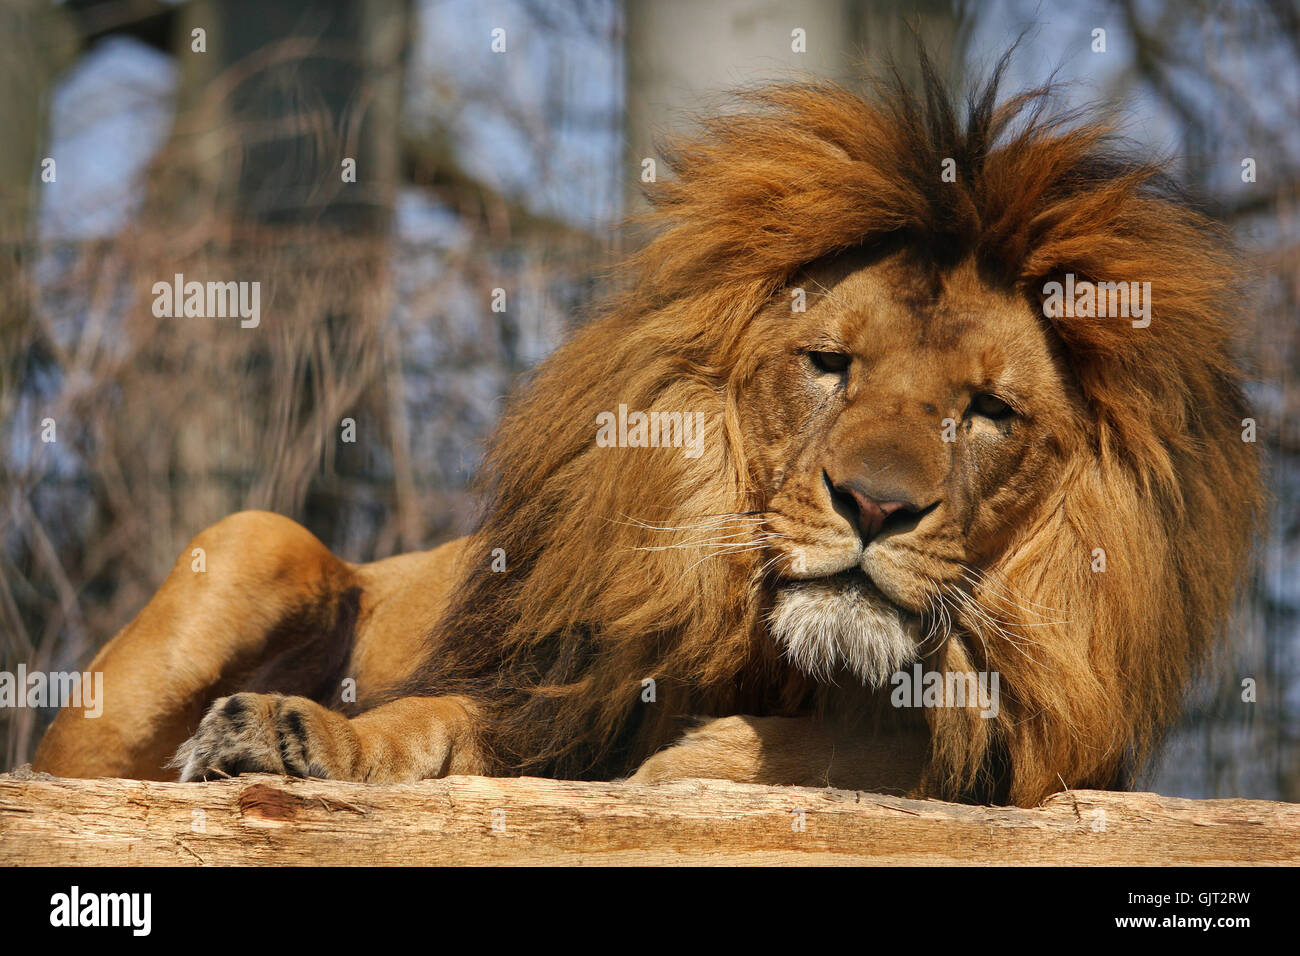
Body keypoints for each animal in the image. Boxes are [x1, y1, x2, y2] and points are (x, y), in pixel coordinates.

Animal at [35, 55, 1263, 806]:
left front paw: (706, 760)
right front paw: (287, 739)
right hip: (256, 540)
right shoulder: (546, 704)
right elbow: (424, 726)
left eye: (988, 412)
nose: (873, 506)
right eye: (830, 365)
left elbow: (891, 743)